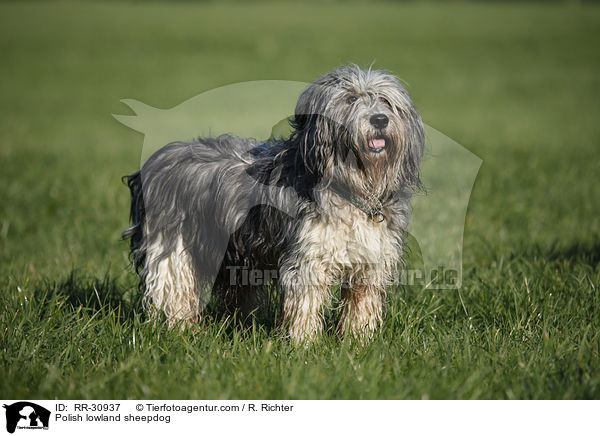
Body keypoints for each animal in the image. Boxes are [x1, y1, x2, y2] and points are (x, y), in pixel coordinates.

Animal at [123, 65, 422, 344]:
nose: (380, 119)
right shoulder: (308, 257)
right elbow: (305, 303)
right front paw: (304, 343)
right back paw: (181, 330)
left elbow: (362, 304)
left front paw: (359, 341)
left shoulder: (371, 260)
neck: (351, 184)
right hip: (172, 246)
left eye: (386, 101)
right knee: (172, 290)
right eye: (350, 99)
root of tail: (158, 159)